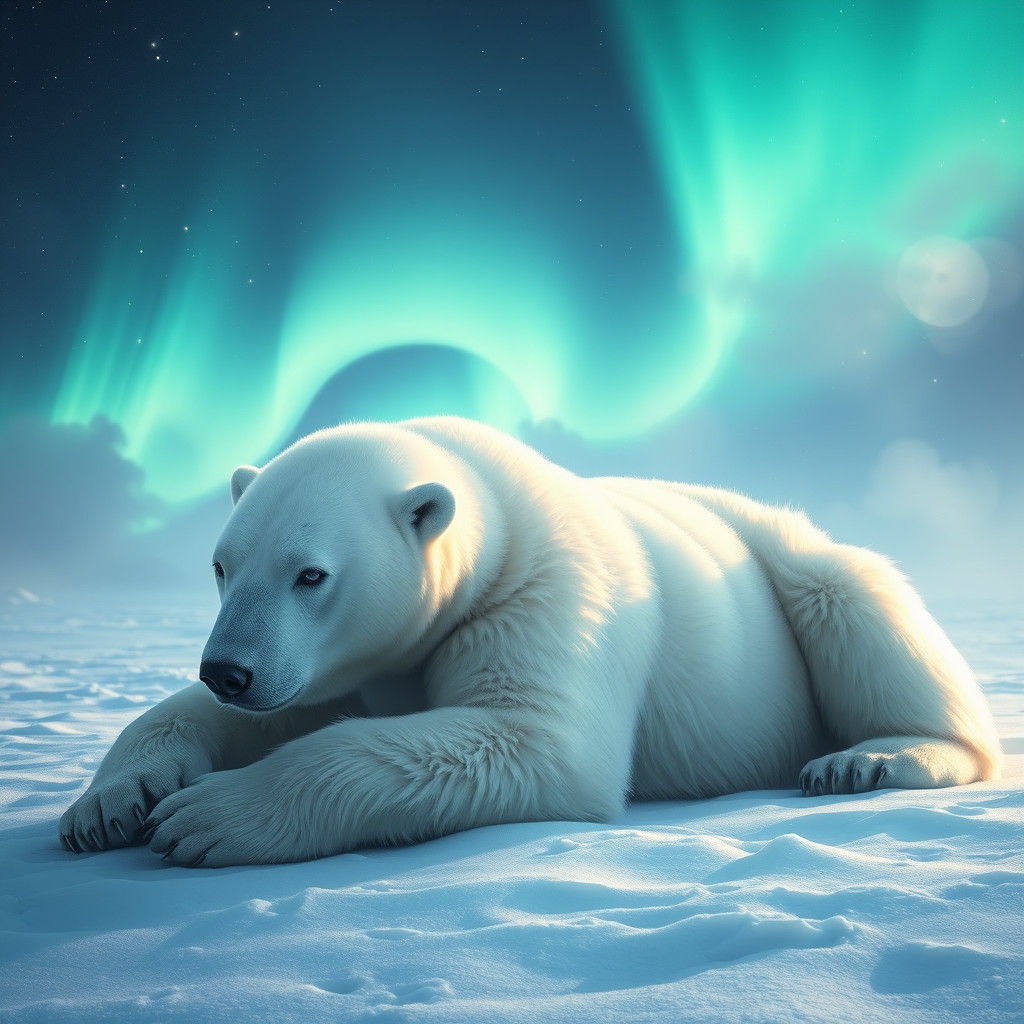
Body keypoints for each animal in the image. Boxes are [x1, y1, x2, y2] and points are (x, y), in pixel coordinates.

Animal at [59, 416, 1002, 866]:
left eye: (311, 575)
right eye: (222, 565)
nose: (229, 668)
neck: (489, 509)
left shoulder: (545, 594)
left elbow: (534, 742)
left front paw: (206, 818)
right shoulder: (353, 663)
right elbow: (250, 713)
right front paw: (108, 807)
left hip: (792, 567)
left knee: (856, 605)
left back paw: (869, 758)